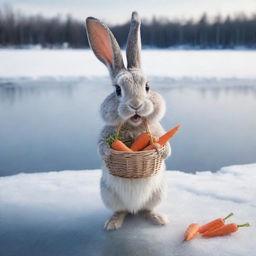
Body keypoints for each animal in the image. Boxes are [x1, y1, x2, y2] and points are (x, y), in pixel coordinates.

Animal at [85, 11, 171, 230]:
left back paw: (158, 219)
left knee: (146, 209)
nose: (136, 105)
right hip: (108, 196)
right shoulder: (105, 133)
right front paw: (108, 152)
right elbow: (100, 146)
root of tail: (134, 208)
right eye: (117, 90)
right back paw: (113, 223)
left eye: (147, 86)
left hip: (158, 194)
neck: (134, 125)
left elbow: (167, 147)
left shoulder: (157, 130)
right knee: (121, 210)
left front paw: (159, 149)